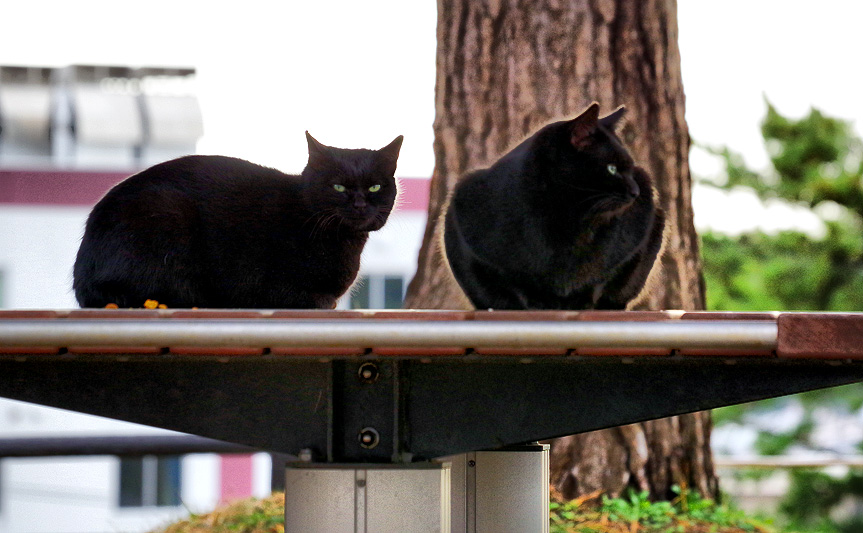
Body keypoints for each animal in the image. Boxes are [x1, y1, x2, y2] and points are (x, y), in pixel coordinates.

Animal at [72, 132, 404, 308]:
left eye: (375, 187)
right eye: (338, 187)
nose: (360, 203)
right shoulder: (270, 287)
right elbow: (318, 300)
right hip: (165, 213)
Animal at [442, 103, 664, 310]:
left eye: (630, 170)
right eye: (612, 169)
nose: (635, 192)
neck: (567, 219)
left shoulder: (640, 229)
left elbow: (601, 277)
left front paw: (583, 302)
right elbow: (515, 282)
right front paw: (536, 303)